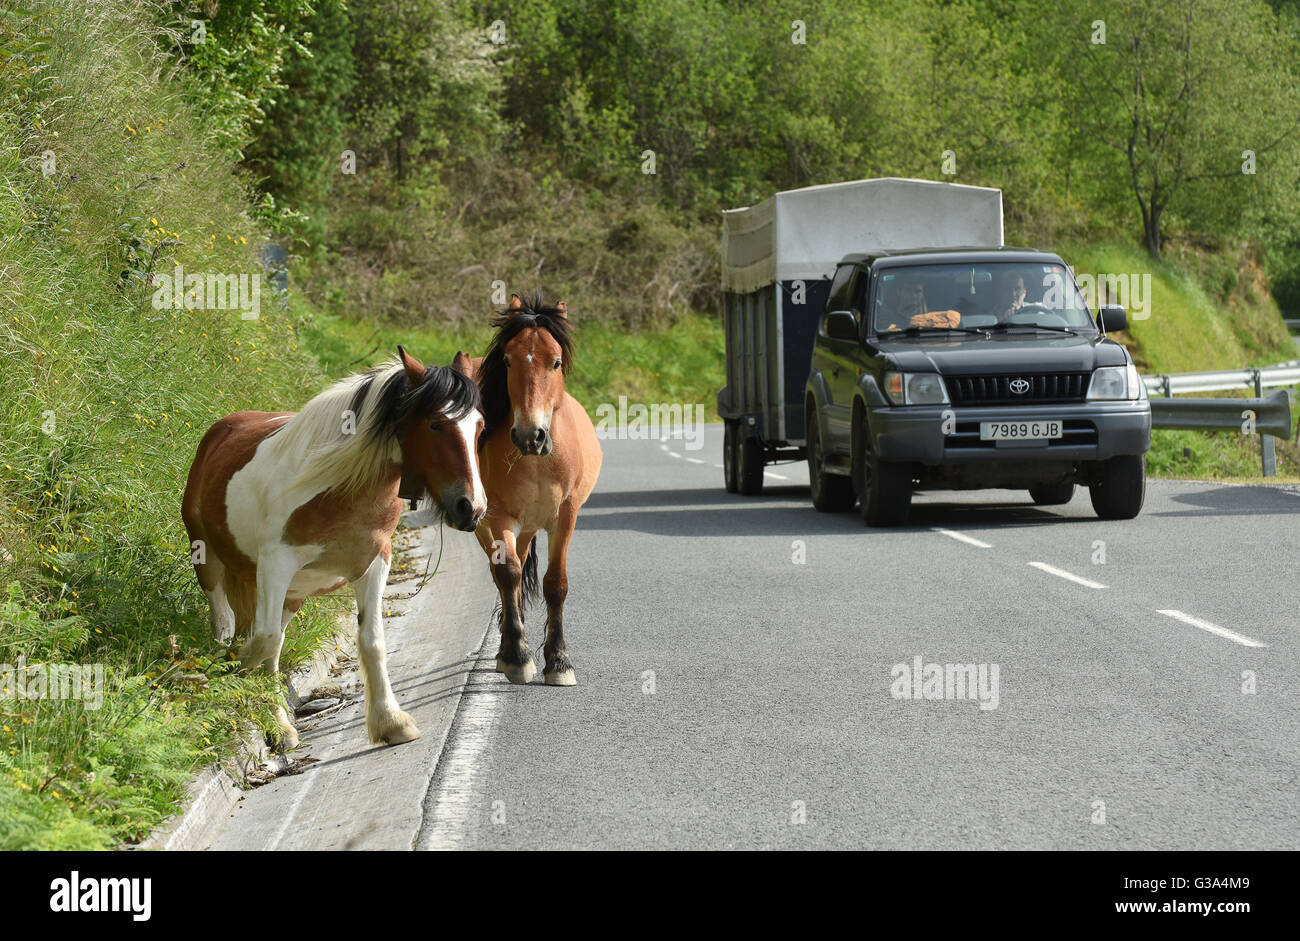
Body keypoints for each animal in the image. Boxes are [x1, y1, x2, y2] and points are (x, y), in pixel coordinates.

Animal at [180, 348, 486, 748]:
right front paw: (234, 671)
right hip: (210, 561)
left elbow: (371, 642)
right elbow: (262, 641)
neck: (342, 487)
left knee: (273, 643)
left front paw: (390, 721)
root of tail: (220, 430)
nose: (472, 509)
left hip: (292, 595)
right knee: (227, 624)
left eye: (479, 427)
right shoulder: (275, 564)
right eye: (436, 424)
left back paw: (280, 724)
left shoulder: (375, 565)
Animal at [454, 292, 600, 686]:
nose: (529, 436)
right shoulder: (500, 516)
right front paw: (517, 657)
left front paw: (559, 662)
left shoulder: (566, 515)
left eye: (556, 362)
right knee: (506, 573)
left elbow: (555, 583)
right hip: (487, 526)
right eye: (507, 359)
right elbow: (508, 574)